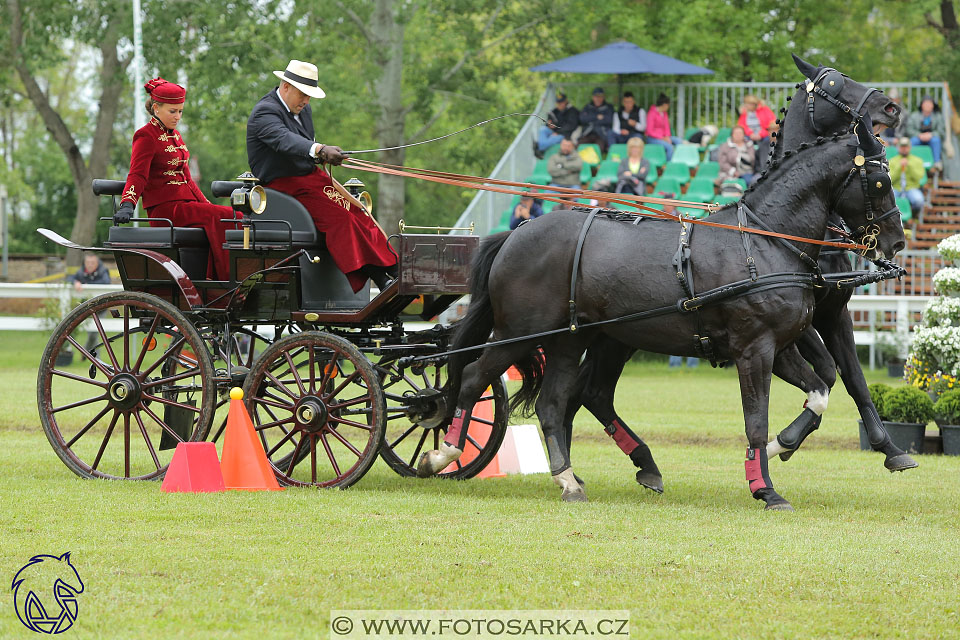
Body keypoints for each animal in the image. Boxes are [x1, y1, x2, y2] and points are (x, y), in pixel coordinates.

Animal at [418, 119, 900, 510]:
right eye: (878, 181)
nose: (895, 242)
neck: (763, 241)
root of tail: (515, 233)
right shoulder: (755, 349)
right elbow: (757, 420)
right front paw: (765, 488)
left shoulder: (779, 347)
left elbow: (819, 391)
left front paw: (781, 448)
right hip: (518, 333)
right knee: (476, 378)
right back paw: (444, 454)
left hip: (571, 340)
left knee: (554, 403)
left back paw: (570, 479)